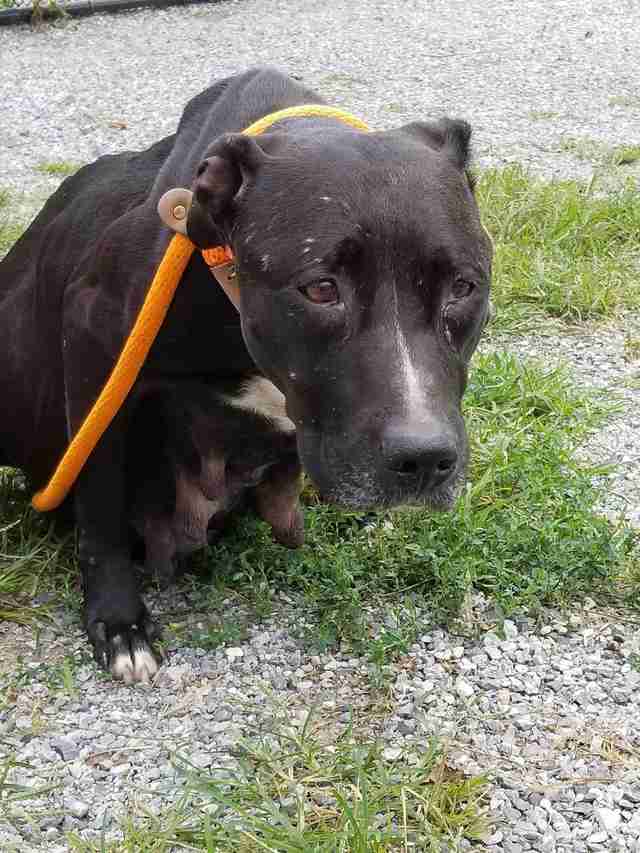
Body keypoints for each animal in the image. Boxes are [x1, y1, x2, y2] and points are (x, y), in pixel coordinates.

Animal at [0, 66, 490, 684]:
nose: (424, 460)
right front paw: (119, 621)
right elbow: (100, 501)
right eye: (320, 288)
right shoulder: (94, 352)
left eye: (464, 287)